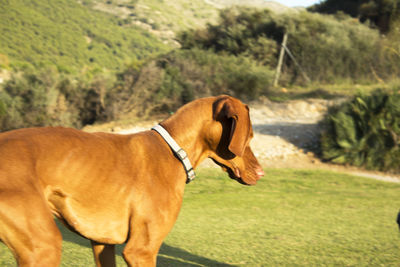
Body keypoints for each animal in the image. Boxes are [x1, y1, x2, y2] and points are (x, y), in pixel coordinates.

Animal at [0, 95, 262, 266]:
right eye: (249, 136)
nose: (261, 173)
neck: (173, 150)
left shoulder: (102, 244)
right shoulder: (141, 251)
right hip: (43, 247)